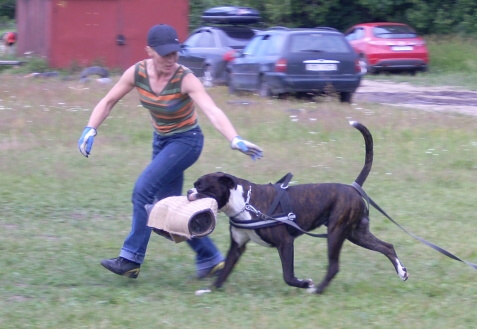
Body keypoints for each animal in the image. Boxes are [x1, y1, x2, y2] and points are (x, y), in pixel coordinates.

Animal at [188, 121, 408, 294]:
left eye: (203, 187)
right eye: (194, 184)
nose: (189, 192)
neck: (245, 203)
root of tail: (353, 187)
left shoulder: (285, 243)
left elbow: (288, 276)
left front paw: (305, 284)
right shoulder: (237, 247)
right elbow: (224, 272)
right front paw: (209, 290)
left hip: (336, 233)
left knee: (334, 266)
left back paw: (317, 290)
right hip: (356, 233)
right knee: (386, 246)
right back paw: (402, 272)